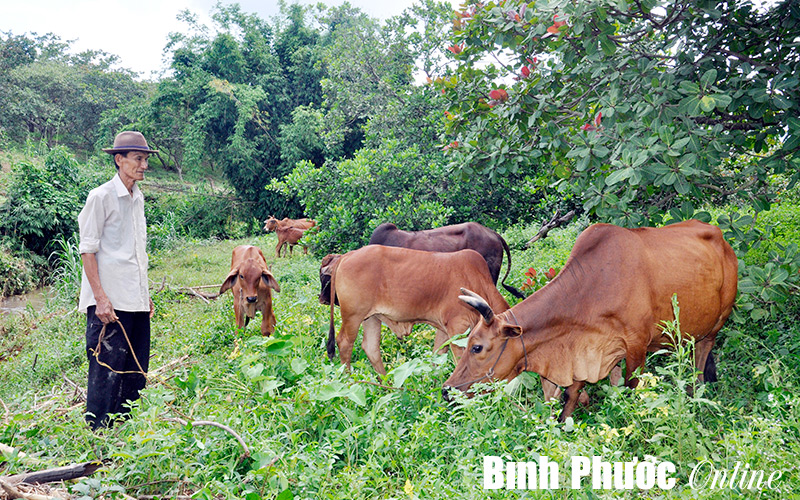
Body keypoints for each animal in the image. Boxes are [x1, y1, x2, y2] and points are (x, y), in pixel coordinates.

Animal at [326, 246, 510, 376]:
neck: (477, 280)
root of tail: (346, 256)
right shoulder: (457, 326)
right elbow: (460, 360)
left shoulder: (444, 329)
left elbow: (437, 356)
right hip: (353, 316)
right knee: (344, 343)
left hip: (371, 318)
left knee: (370, 348)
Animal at [444, 221, 736, 420]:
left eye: (477, 347)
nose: (447, 390)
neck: (591, 289)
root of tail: (722, 239)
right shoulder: (583, 353)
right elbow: (571, 395)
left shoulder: (637, 347)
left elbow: (630, 389)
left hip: (715, 326)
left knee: (701, 362)